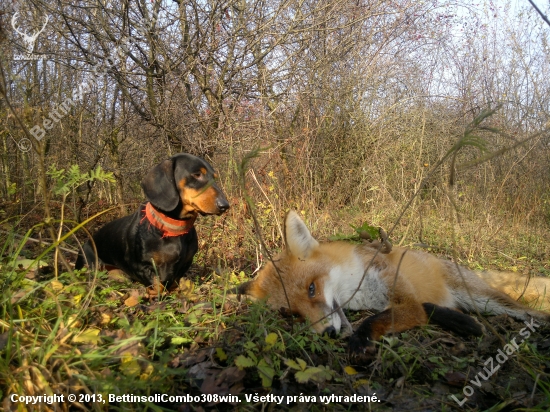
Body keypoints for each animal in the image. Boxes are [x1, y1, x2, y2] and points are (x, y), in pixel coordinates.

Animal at [240, 211, 550, 352]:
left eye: (312, 288)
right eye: (293, 313)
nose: (326, 333)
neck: (359, 288)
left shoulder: (402, 298)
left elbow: (376, 319)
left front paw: (359, 339)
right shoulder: (399, 302)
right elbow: (412, 311)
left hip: (487, 300)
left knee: (528, 312)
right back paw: (463, 323)